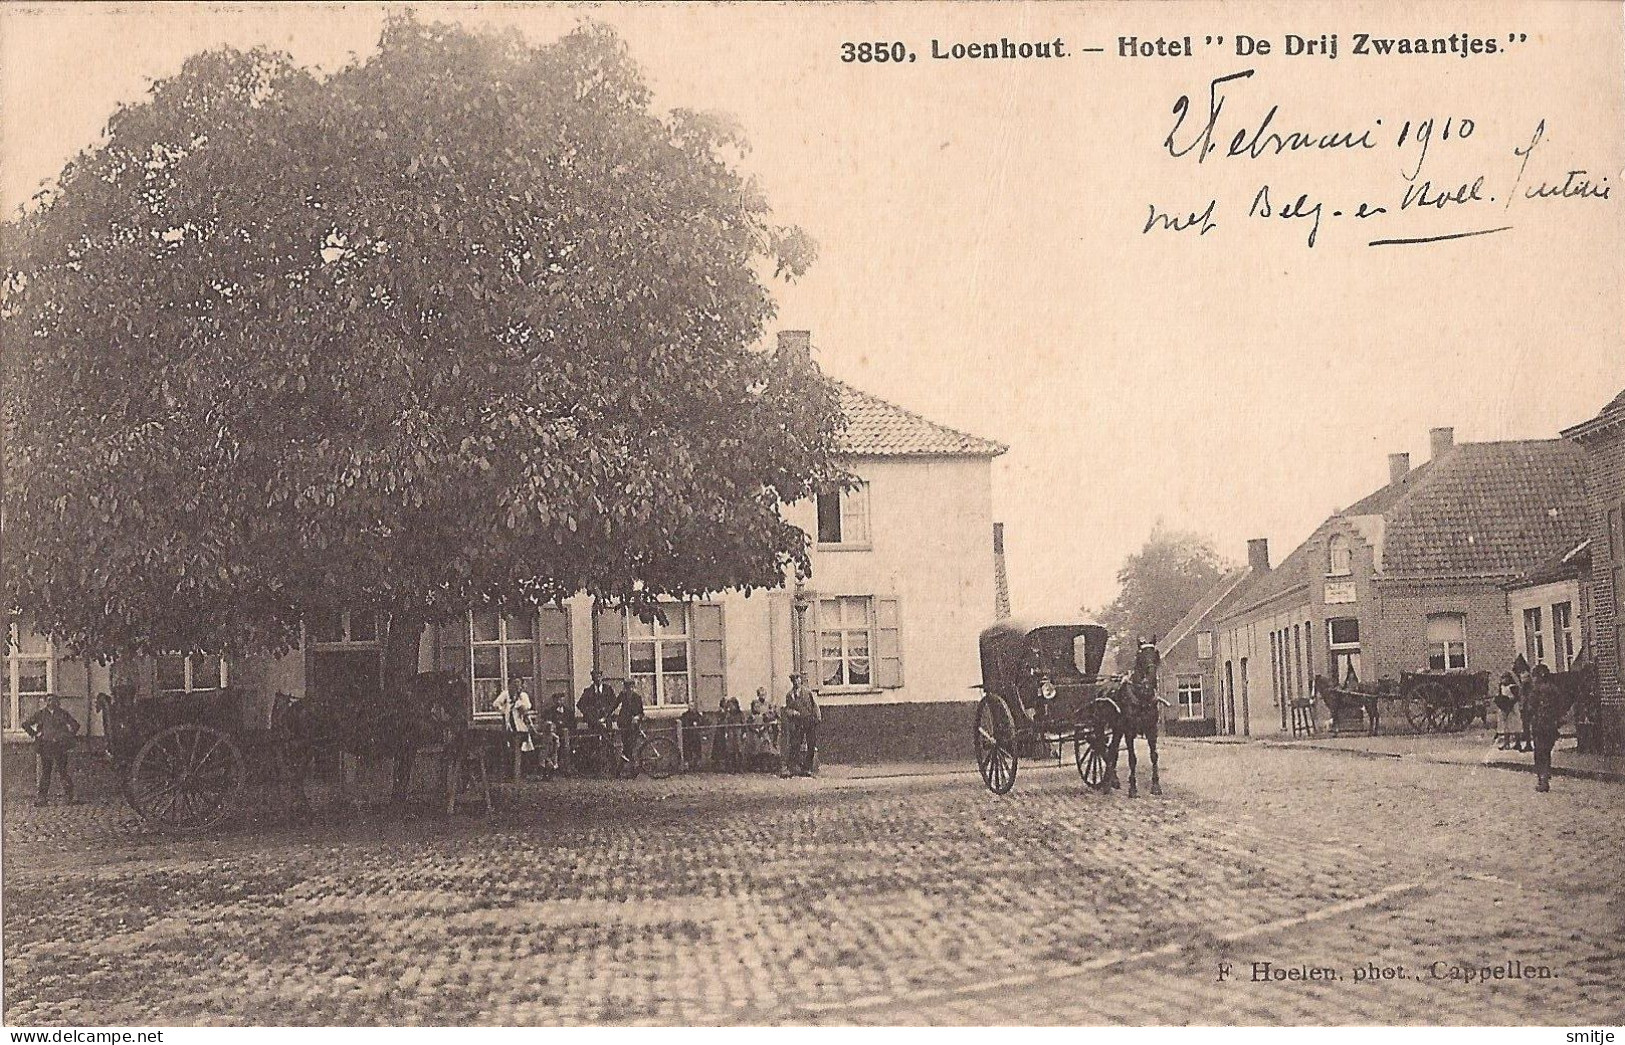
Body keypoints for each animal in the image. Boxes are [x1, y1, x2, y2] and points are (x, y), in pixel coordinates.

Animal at [274, 669, 494, 819]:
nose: (463, 720)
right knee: (294, 778)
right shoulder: (409, 745)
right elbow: (402, 775)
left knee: (295, 778)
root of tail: (293, 707)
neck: (410, 702)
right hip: (303, 748)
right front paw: (398, 806)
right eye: (456, 690)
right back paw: (302, 809)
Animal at [1098, 640, 1163, 796]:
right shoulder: (1129, 731)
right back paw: (1107, 783)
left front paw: (1156, 786)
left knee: (1112, 750)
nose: (1151, 679)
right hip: (1104, 727)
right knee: (1106, 750)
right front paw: (1133, 788)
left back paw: (1112, 781)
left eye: (1156, 653)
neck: (1142, 696)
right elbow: (1132, 758)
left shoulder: (1152, 730)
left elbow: (1154, 756)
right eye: (1140, 656)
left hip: (1117, 729)